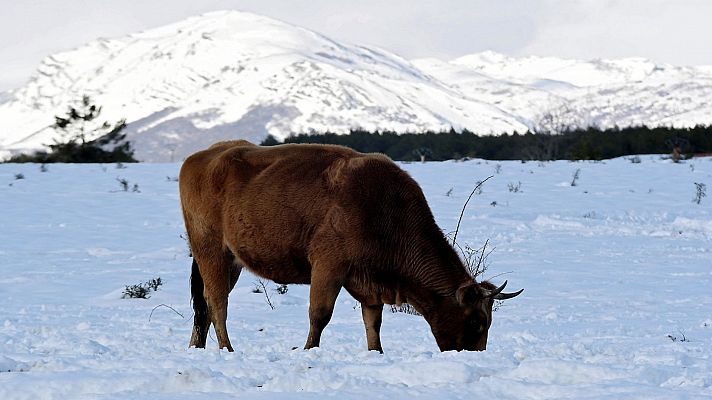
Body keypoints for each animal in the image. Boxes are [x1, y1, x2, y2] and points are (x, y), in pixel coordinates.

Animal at [179, 141, 524, 354]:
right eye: (477, 321)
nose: (476, 354)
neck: (386, 210)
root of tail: (200, 157)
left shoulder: (369, 283)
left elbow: (373, 320)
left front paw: (376, 352)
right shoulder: (328, 266)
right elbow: (320, 314)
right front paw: (309, 350)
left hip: (231, 261)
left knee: (206, 303)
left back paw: (198, 347)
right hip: (212, 252)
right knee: (217, 302)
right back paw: (227, 348)